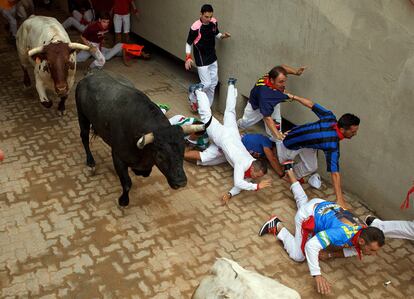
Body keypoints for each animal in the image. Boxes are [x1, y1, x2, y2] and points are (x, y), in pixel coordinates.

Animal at [76, 71, 188, 206]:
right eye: (160, 156)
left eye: (183, 152)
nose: (180, 182)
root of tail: (89, 75)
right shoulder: (118, 157)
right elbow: (127, 183)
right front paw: (123, 200)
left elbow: (146, 172)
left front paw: (138, 171)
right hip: (82, 116)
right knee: (84, 137)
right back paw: (90, 162)